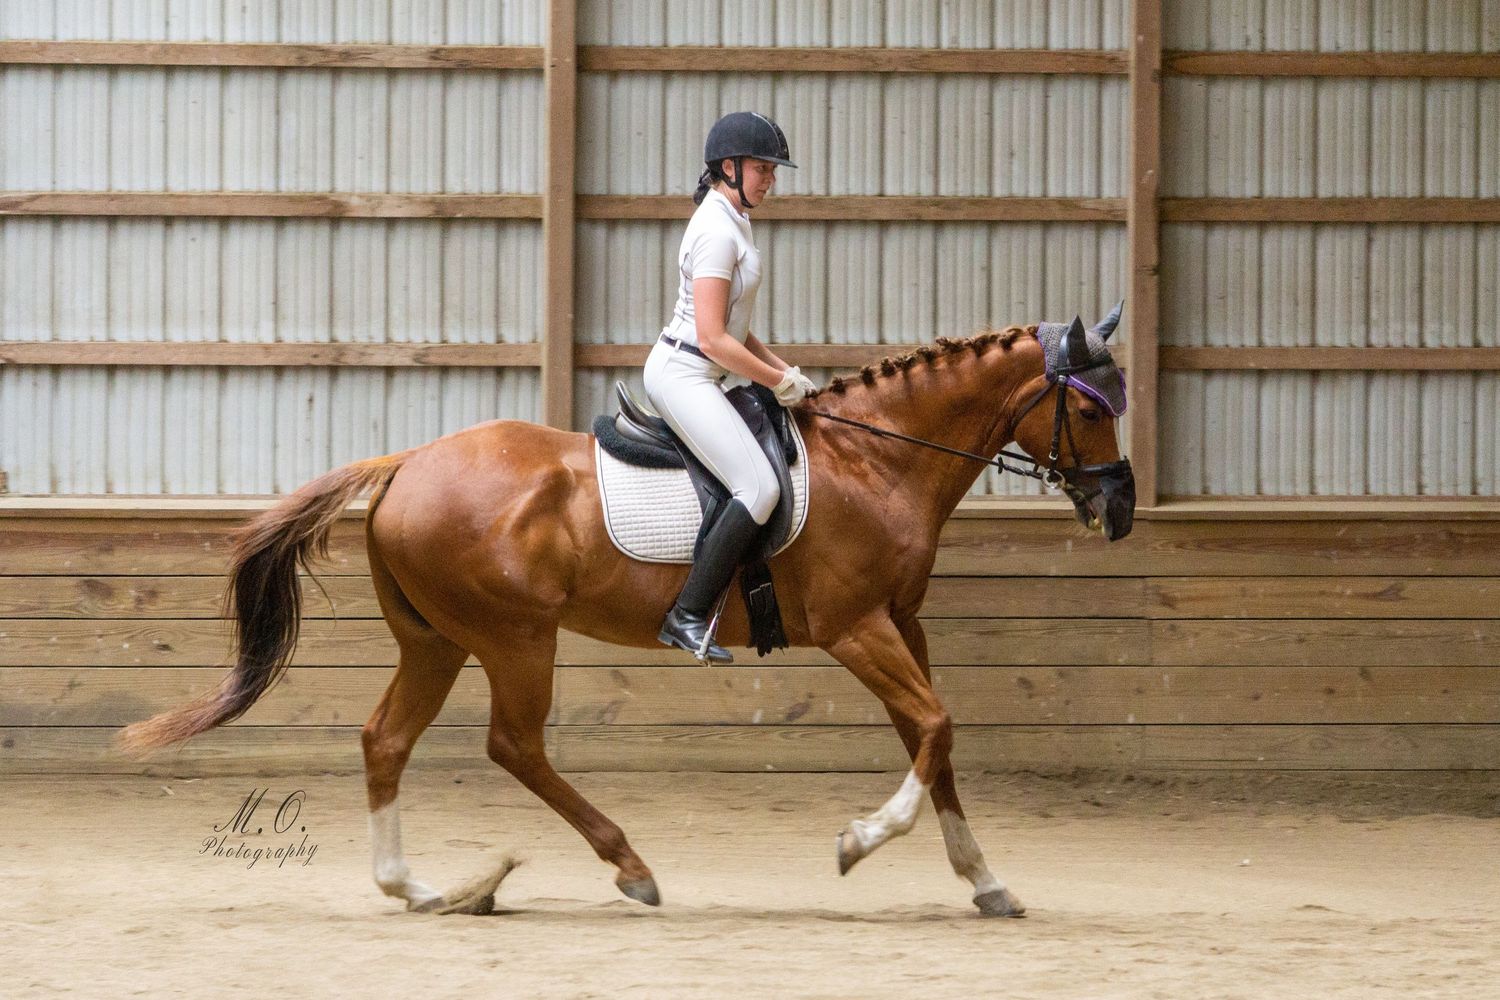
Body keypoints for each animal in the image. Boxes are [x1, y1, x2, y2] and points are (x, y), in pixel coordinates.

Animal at [120, 313, 1135, 918]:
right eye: (1092, 410)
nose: (1120, 509)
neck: (877, 460)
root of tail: (407, 462)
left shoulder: (903, 626)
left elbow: (935, 738)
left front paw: (988, 882)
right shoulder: (859, 629)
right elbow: (936, 725)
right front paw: (860, 841)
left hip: (436, 641)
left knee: (386, 740)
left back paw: (418, 888)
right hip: (515, 638)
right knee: (513, 745)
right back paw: (625, 866)